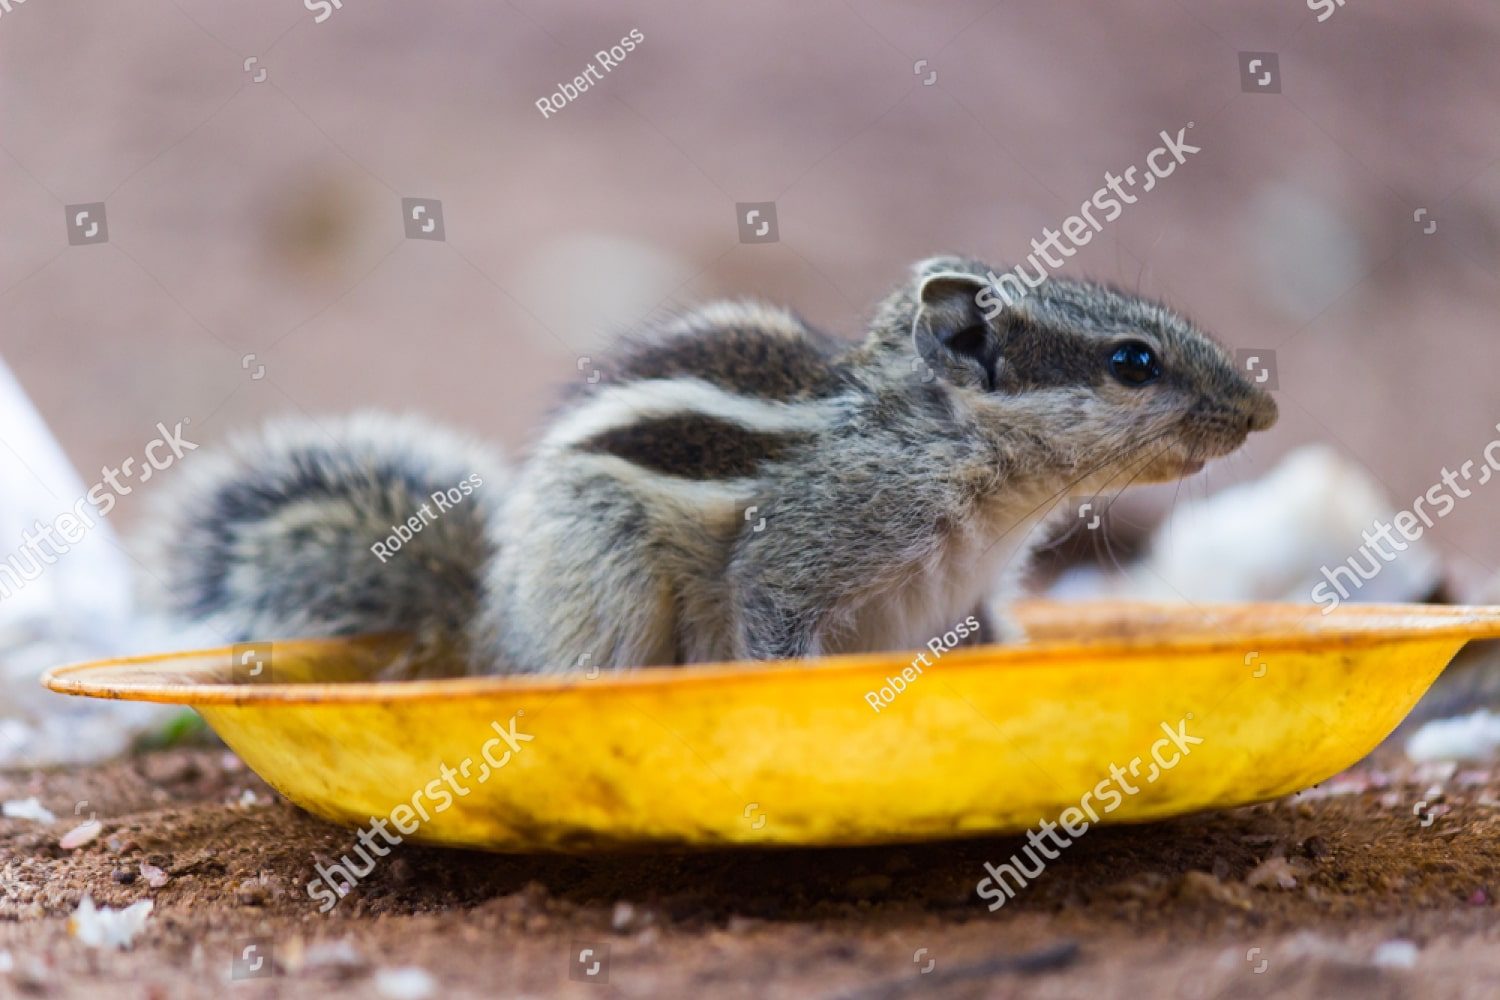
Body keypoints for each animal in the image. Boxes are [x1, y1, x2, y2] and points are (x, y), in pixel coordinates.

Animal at [148, 256, 1278, 675]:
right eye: (1133, 363)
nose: (1264, 410)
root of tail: (481, 622)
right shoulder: (812, 544)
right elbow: (772, 613)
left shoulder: (972, 592)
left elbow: (987, 633)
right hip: (602, 576)